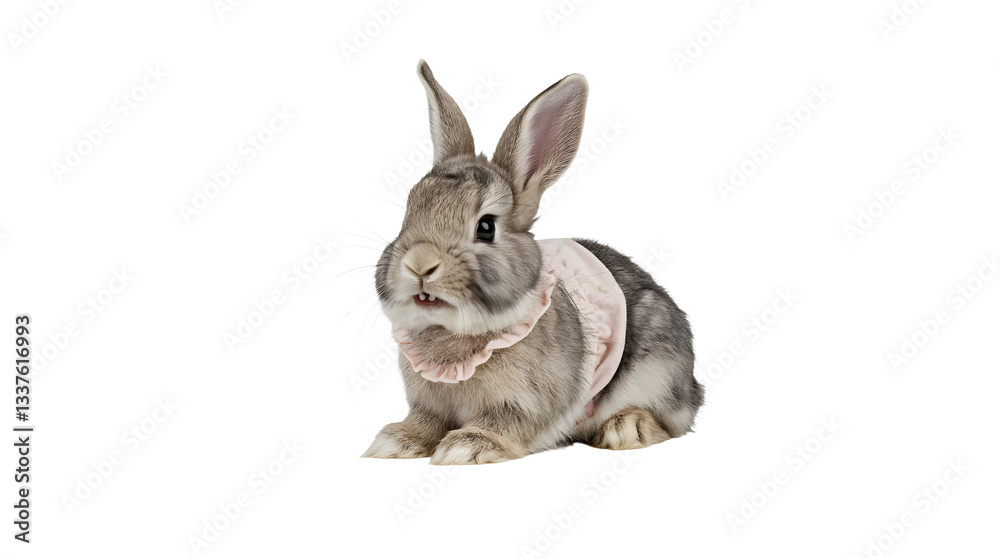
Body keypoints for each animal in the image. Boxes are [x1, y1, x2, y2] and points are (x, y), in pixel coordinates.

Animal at [362, 60, 704, 465]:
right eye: (409, 213)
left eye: (486, 227)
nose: (419, 265)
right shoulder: (428, 404)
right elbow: (424, 422)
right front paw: (394, 442)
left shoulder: (523, 403)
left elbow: (504, 424)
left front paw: (466, 447)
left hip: (657, 372)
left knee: (669, 422)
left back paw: (625, 428)